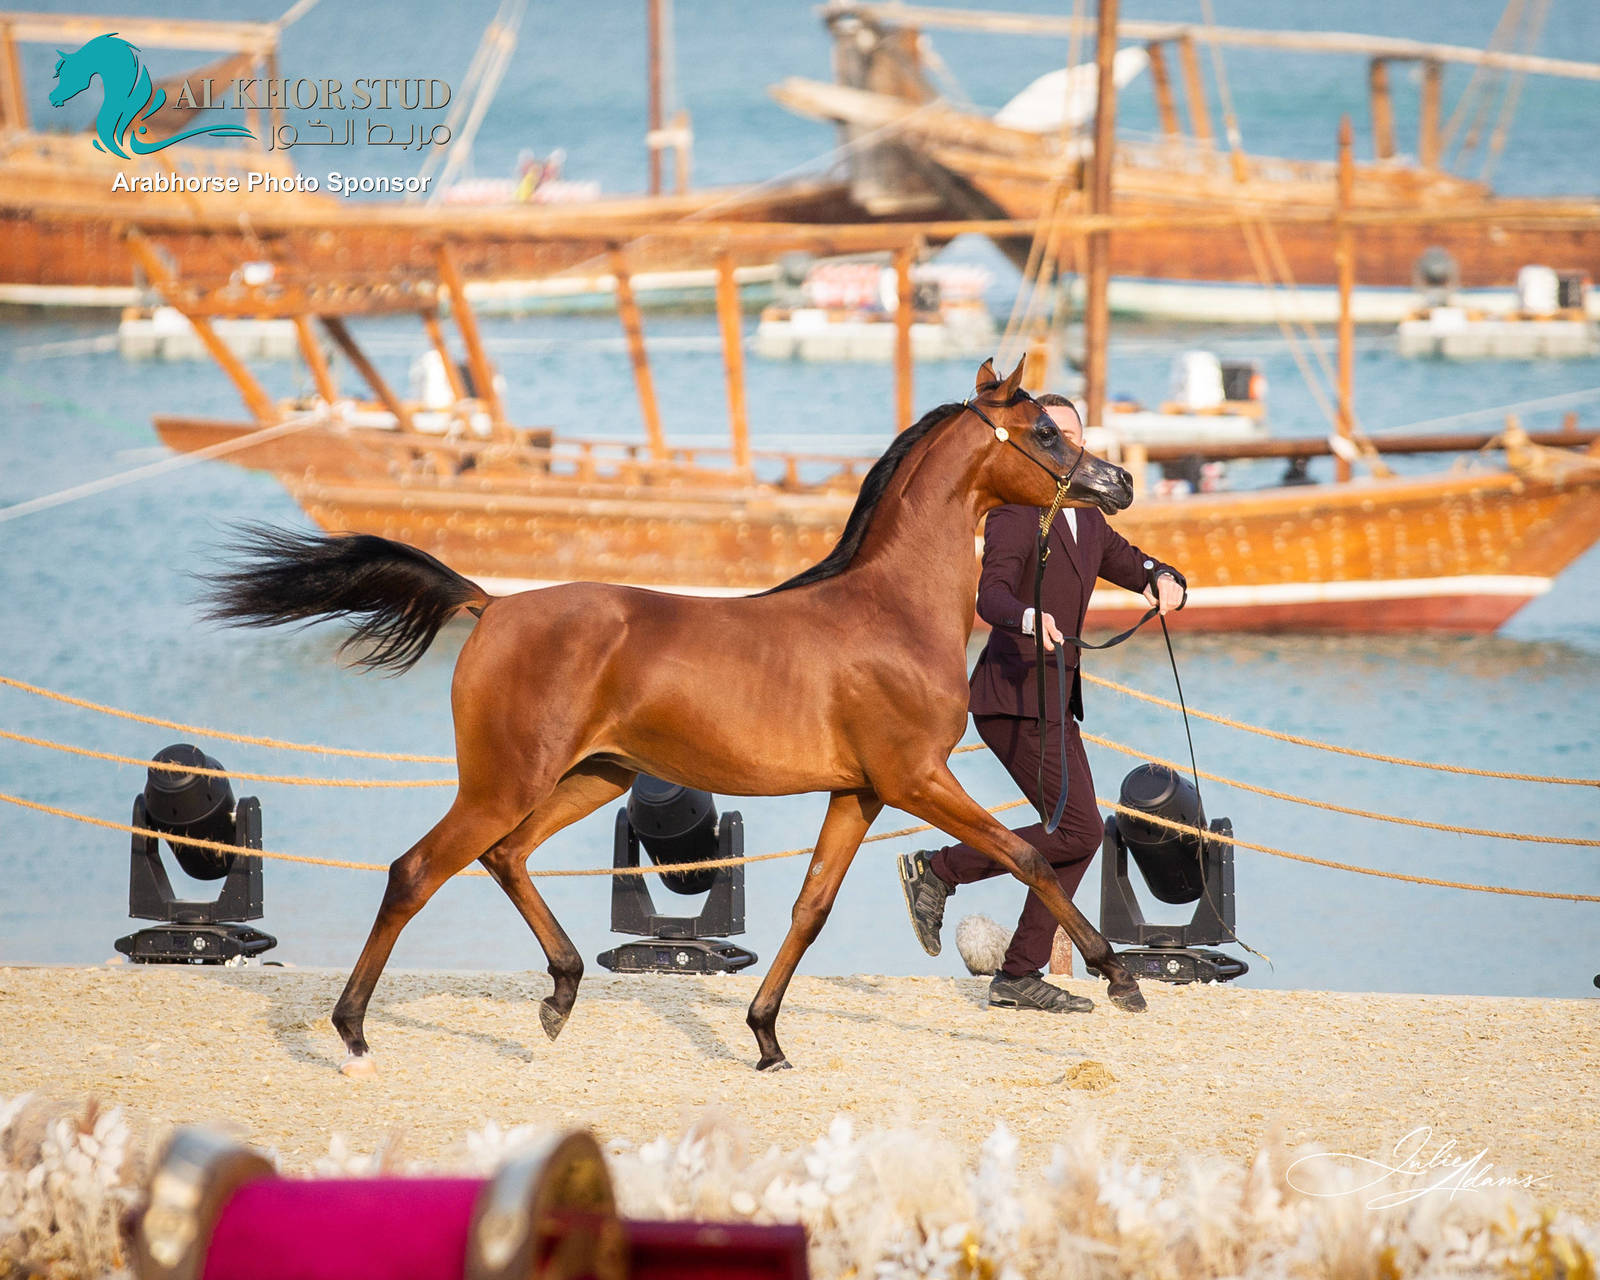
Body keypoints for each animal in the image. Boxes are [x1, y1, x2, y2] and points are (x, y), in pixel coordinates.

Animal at [203, 357, 1148, 1073]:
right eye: (1045, 433)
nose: (1122, 483)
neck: (889, 610)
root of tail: (491, 606)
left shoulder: (862, 792)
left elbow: (811, 908)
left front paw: (766, 1040)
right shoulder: (917, 778)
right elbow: (1029, 853)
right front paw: (1119, 977)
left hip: (591, 775)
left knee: (504, 857)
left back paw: (561, 992)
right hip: (505, 781)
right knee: (416, 871)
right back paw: (354, 1031)